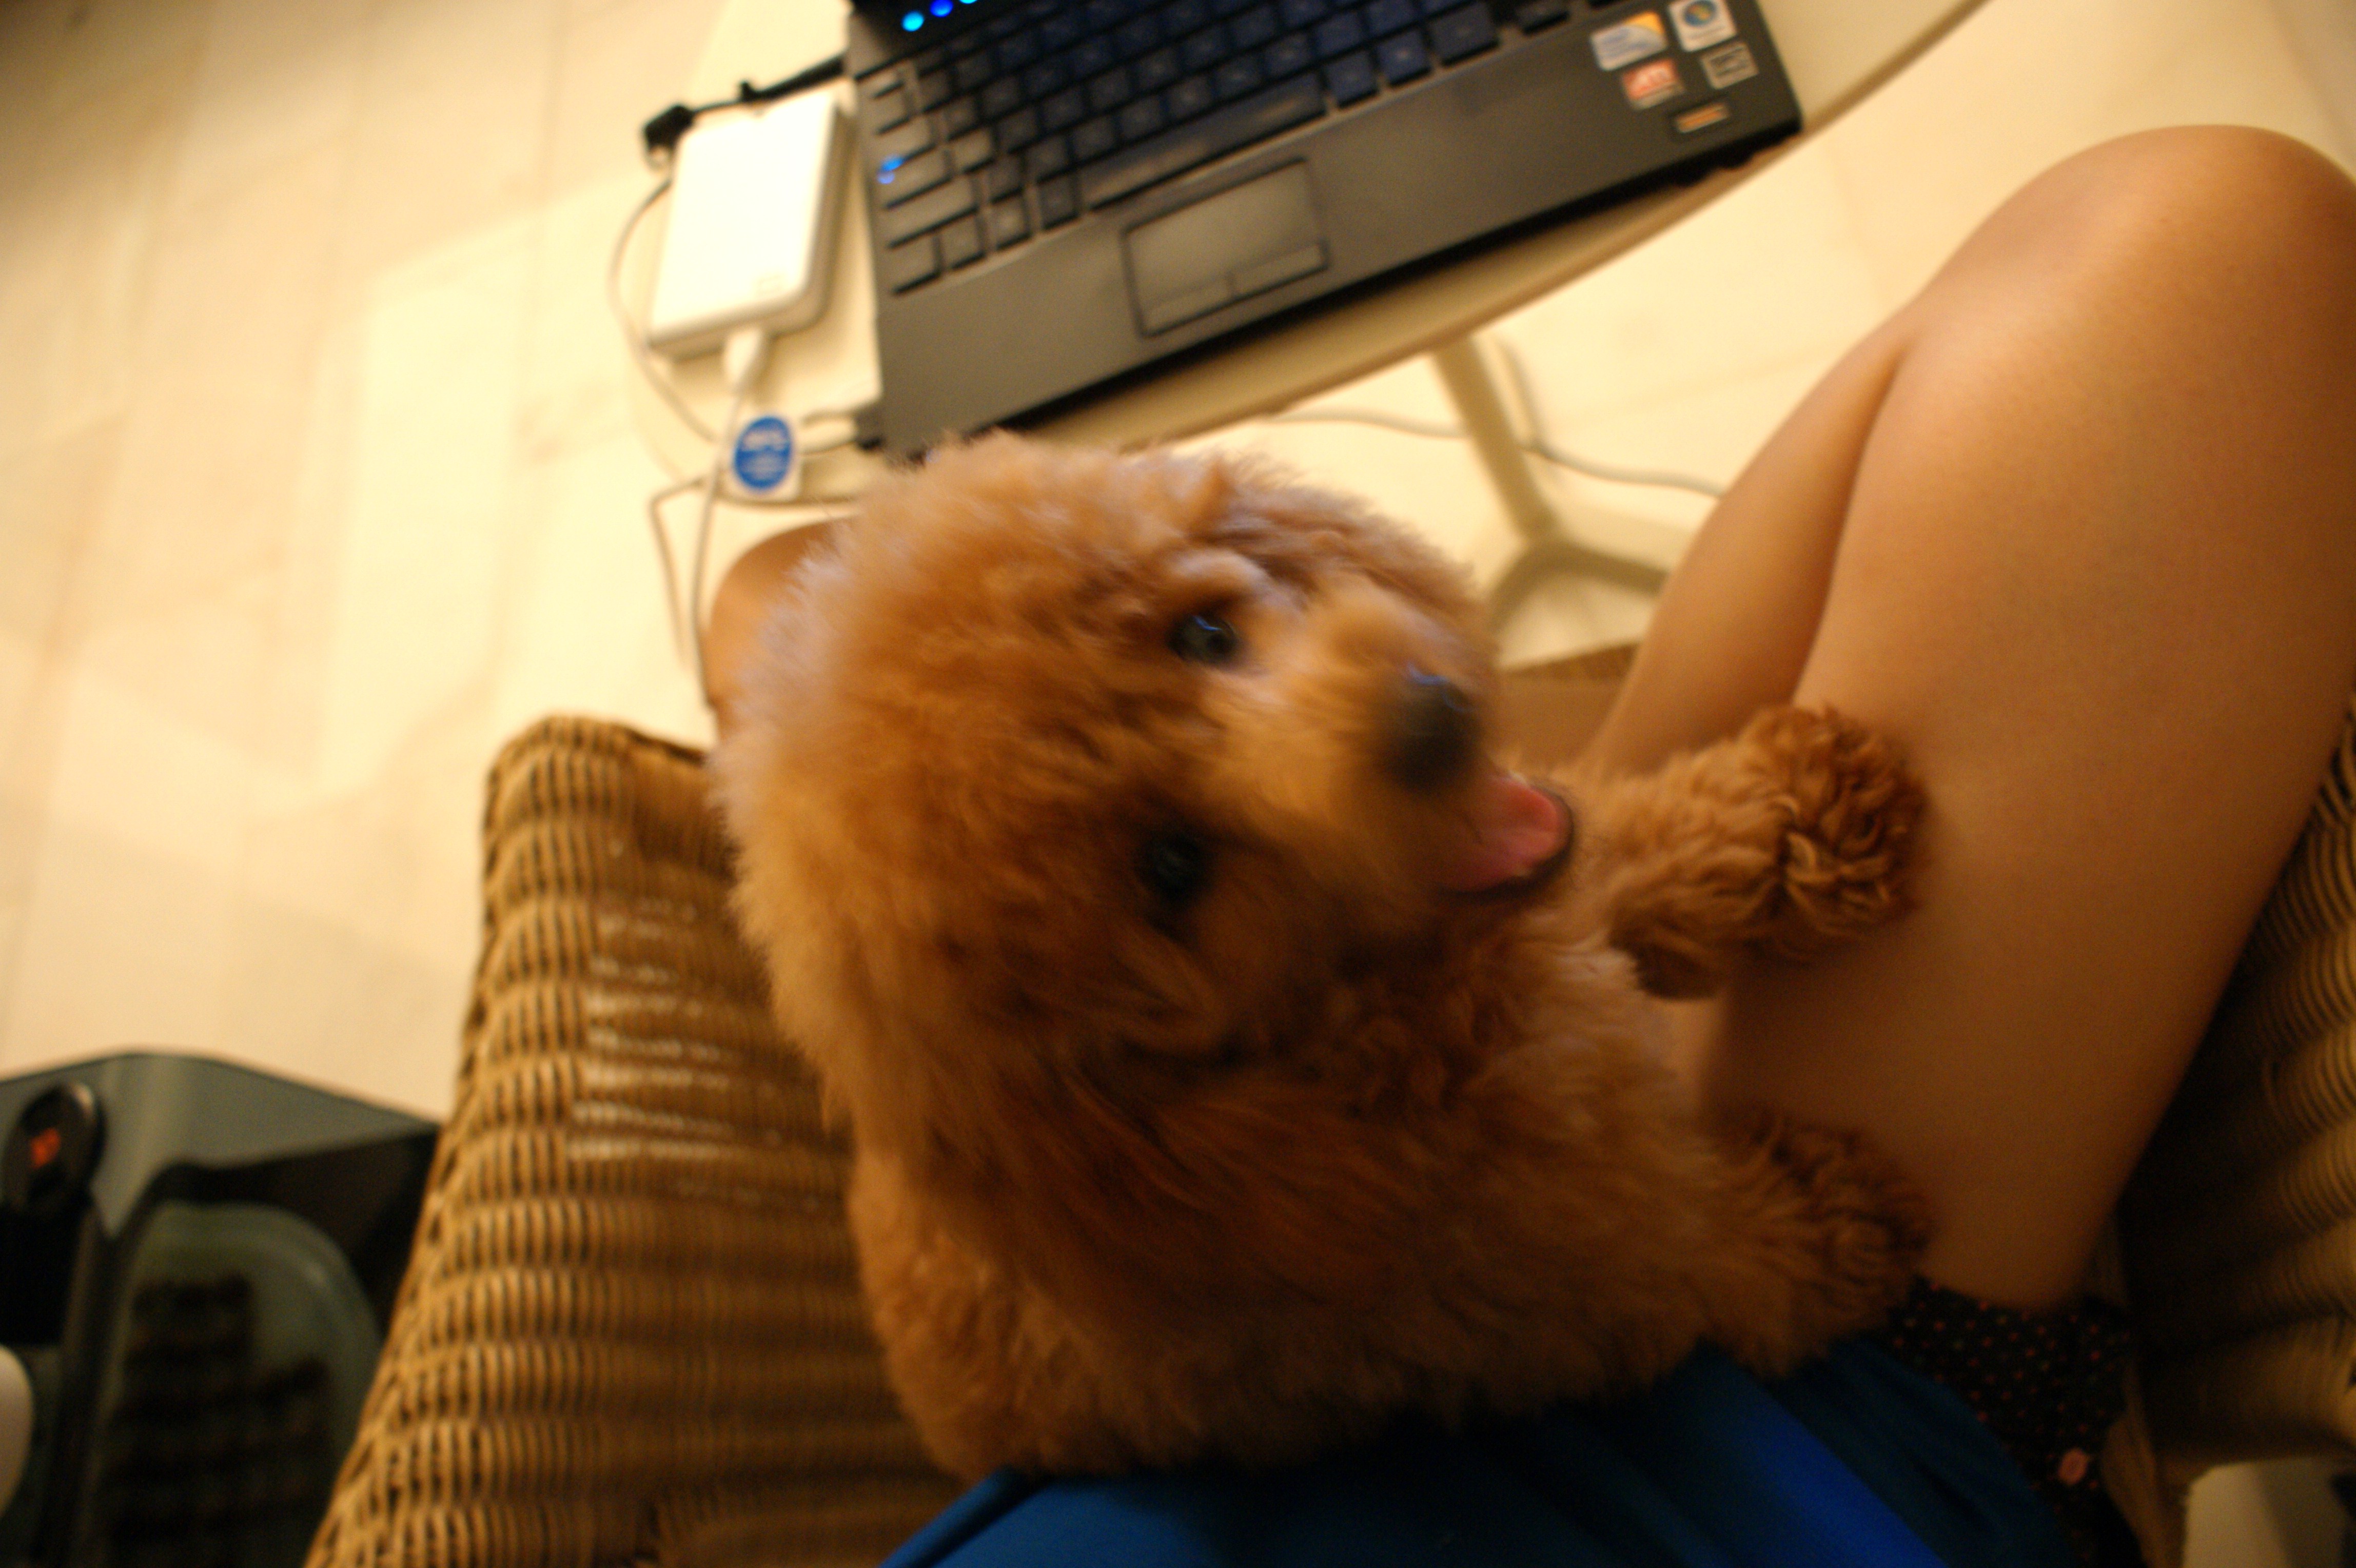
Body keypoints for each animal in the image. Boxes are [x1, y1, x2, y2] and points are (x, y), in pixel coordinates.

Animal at [713, 433, 1930, 1481]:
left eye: (1202, 635)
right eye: (1171, 868)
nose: (1430, 725)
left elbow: (1628, 845)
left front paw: (1794, 813)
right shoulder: (1557, 1287)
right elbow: (1704, 1246)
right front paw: (1836, 1219)